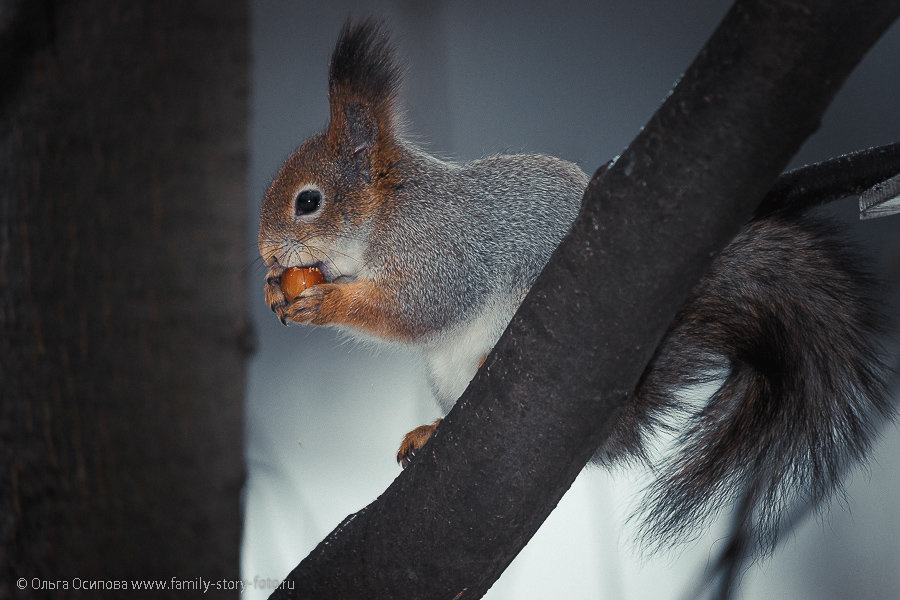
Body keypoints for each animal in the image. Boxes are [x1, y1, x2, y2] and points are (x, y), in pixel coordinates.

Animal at [258, 19, 892, 552]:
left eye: (308, 202)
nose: (265, 252)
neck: (387, 216)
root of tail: (622, 410)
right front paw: (275, 289)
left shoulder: (446, 251)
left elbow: (419, 308)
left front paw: (324, 301)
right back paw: (432, 430)